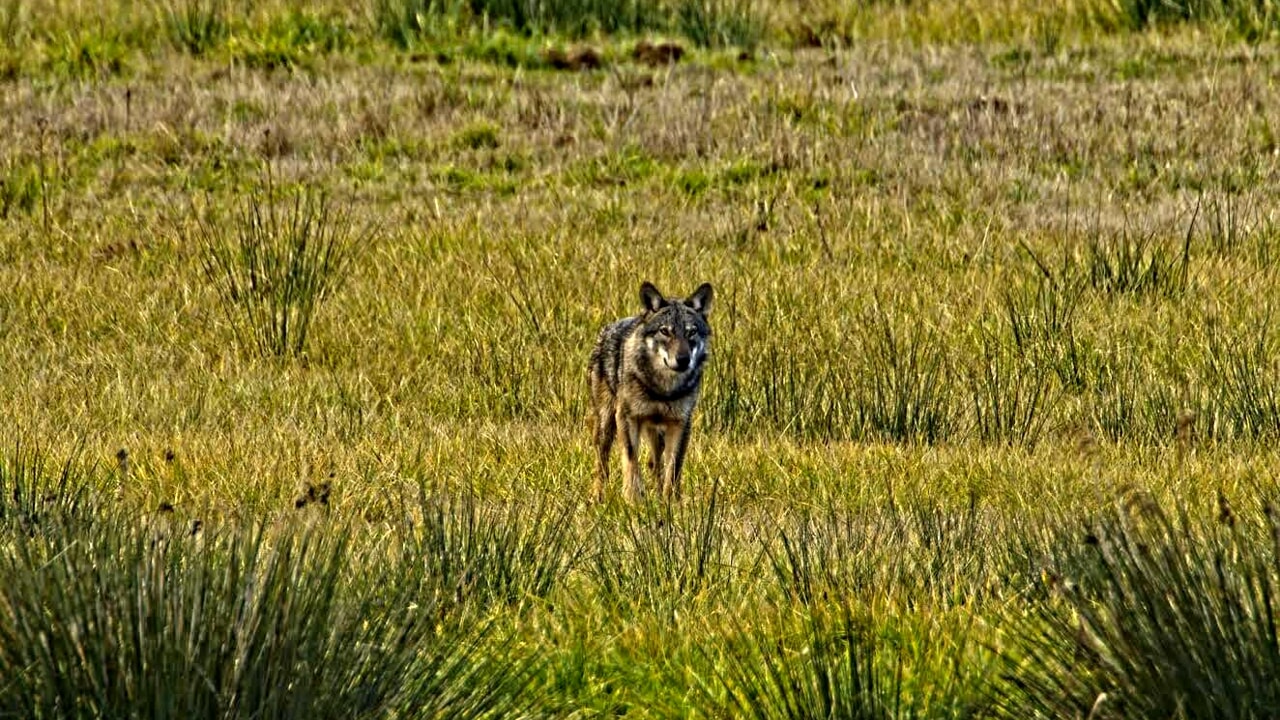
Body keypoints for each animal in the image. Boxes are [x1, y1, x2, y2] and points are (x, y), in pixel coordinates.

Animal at [586, 278, 716, 502]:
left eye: (691, 332)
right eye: (665, 331)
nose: (683, 360)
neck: (663, 389)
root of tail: (608, 328)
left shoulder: (681, 423)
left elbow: (673, 467)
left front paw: (670, 501)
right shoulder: (627, 418)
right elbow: (631, 461)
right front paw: (632, 498)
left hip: (657, 433)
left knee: (655, 464)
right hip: (606, 425)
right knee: (601, 465)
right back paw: (598, 497)